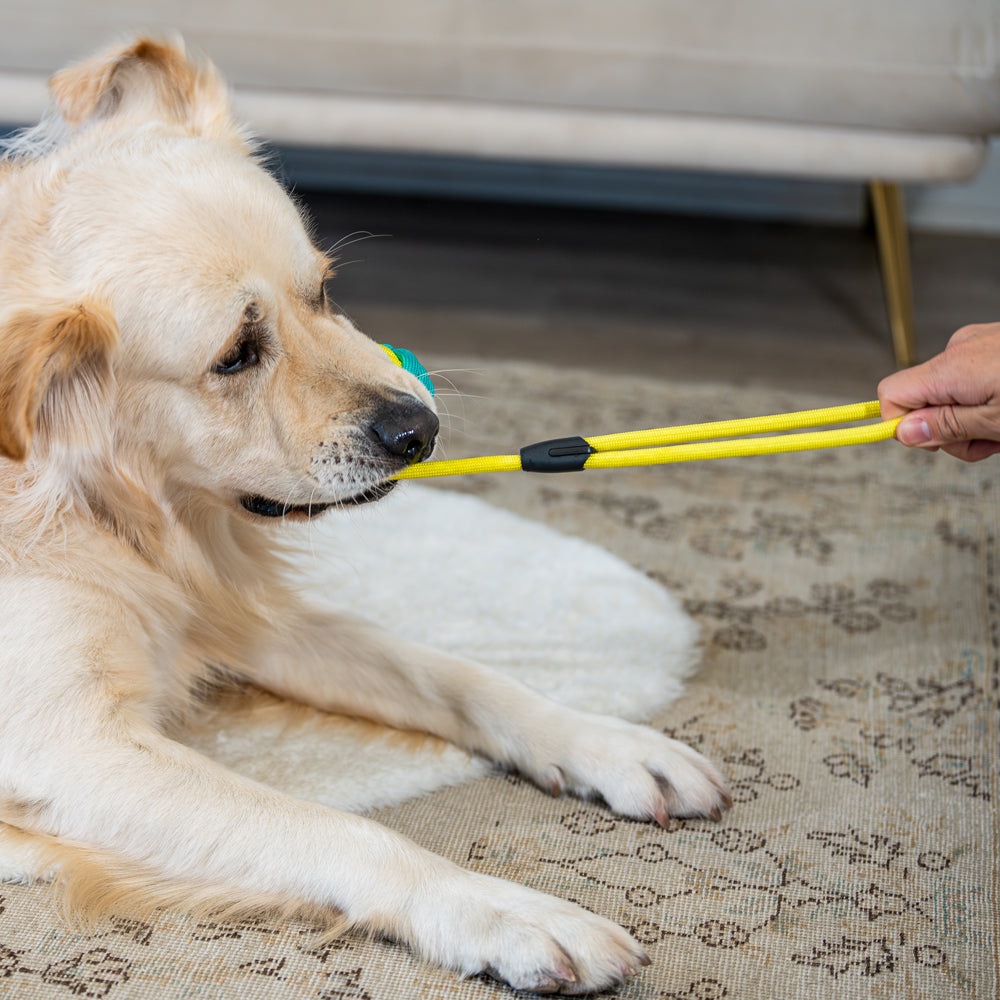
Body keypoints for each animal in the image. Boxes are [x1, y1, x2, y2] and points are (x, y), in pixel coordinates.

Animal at [0, 37, 728, 992]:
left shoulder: (244, 617)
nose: (421, 431)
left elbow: (457, 676)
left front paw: (607, 742)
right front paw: (504, 913)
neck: (122, 511)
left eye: (321, 291)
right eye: (235, 355)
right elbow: (335, 827)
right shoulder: (69, 749)